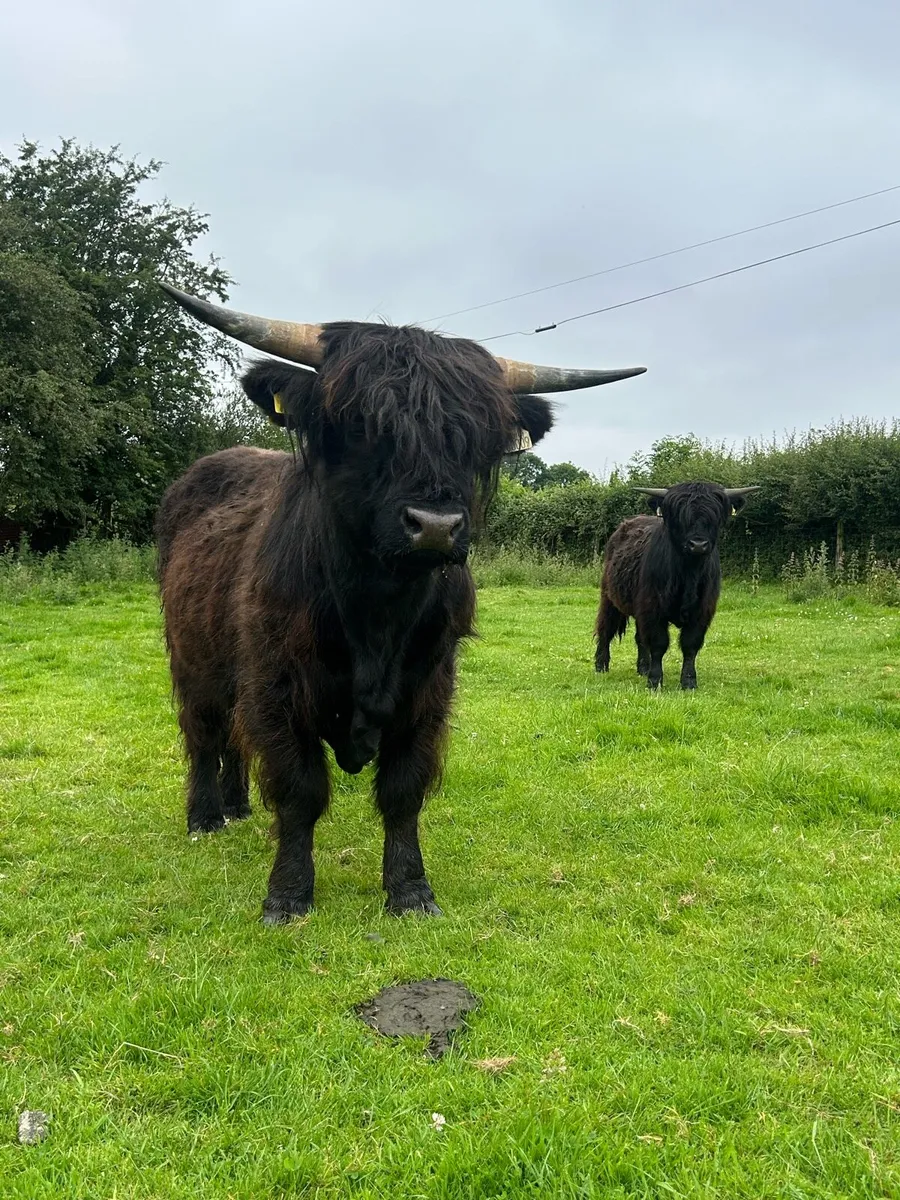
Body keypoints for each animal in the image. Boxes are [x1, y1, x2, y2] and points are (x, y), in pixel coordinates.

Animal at [155, 283, 646, 923]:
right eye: (362, 424)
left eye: (475, 438)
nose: (435, 526)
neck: (377, 612)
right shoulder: (277, 684)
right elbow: (299, 788)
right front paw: (287, 896)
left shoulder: (428, 688)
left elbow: (404, 788)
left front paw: (410, 891)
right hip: (195, 663)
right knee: (205, 733)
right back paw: (206, 816)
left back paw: (238, 806)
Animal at [593, 482, 759, 690]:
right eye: (679, 517)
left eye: (715, 517)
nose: (698, 544)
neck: (688, 574)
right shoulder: (652, 607)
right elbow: (658, 643)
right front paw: (655, 681)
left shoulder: (702, 610)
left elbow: (690, 645)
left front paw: (688, 681)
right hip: (609, 597)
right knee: (605, 628)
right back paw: (601, 665)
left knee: (639, 638)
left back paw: (643, 667)